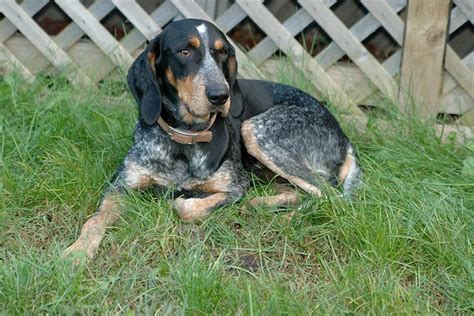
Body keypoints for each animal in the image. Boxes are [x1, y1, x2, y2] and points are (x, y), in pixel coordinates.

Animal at [62, 18, 360, 260]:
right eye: (185, 52)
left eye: (223, 52)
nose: (221, 95)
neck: (184, 139)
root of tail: (344, 137)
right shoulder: (120, 187)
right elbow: (95, 220)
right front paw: (76, 252)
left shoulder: (235, 186)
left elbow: (187, 207)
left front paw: (184, 201)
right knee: (302, 192)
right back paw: (262, 204)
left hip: (257, 131)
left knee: (331, 198)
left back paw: (288, 218)